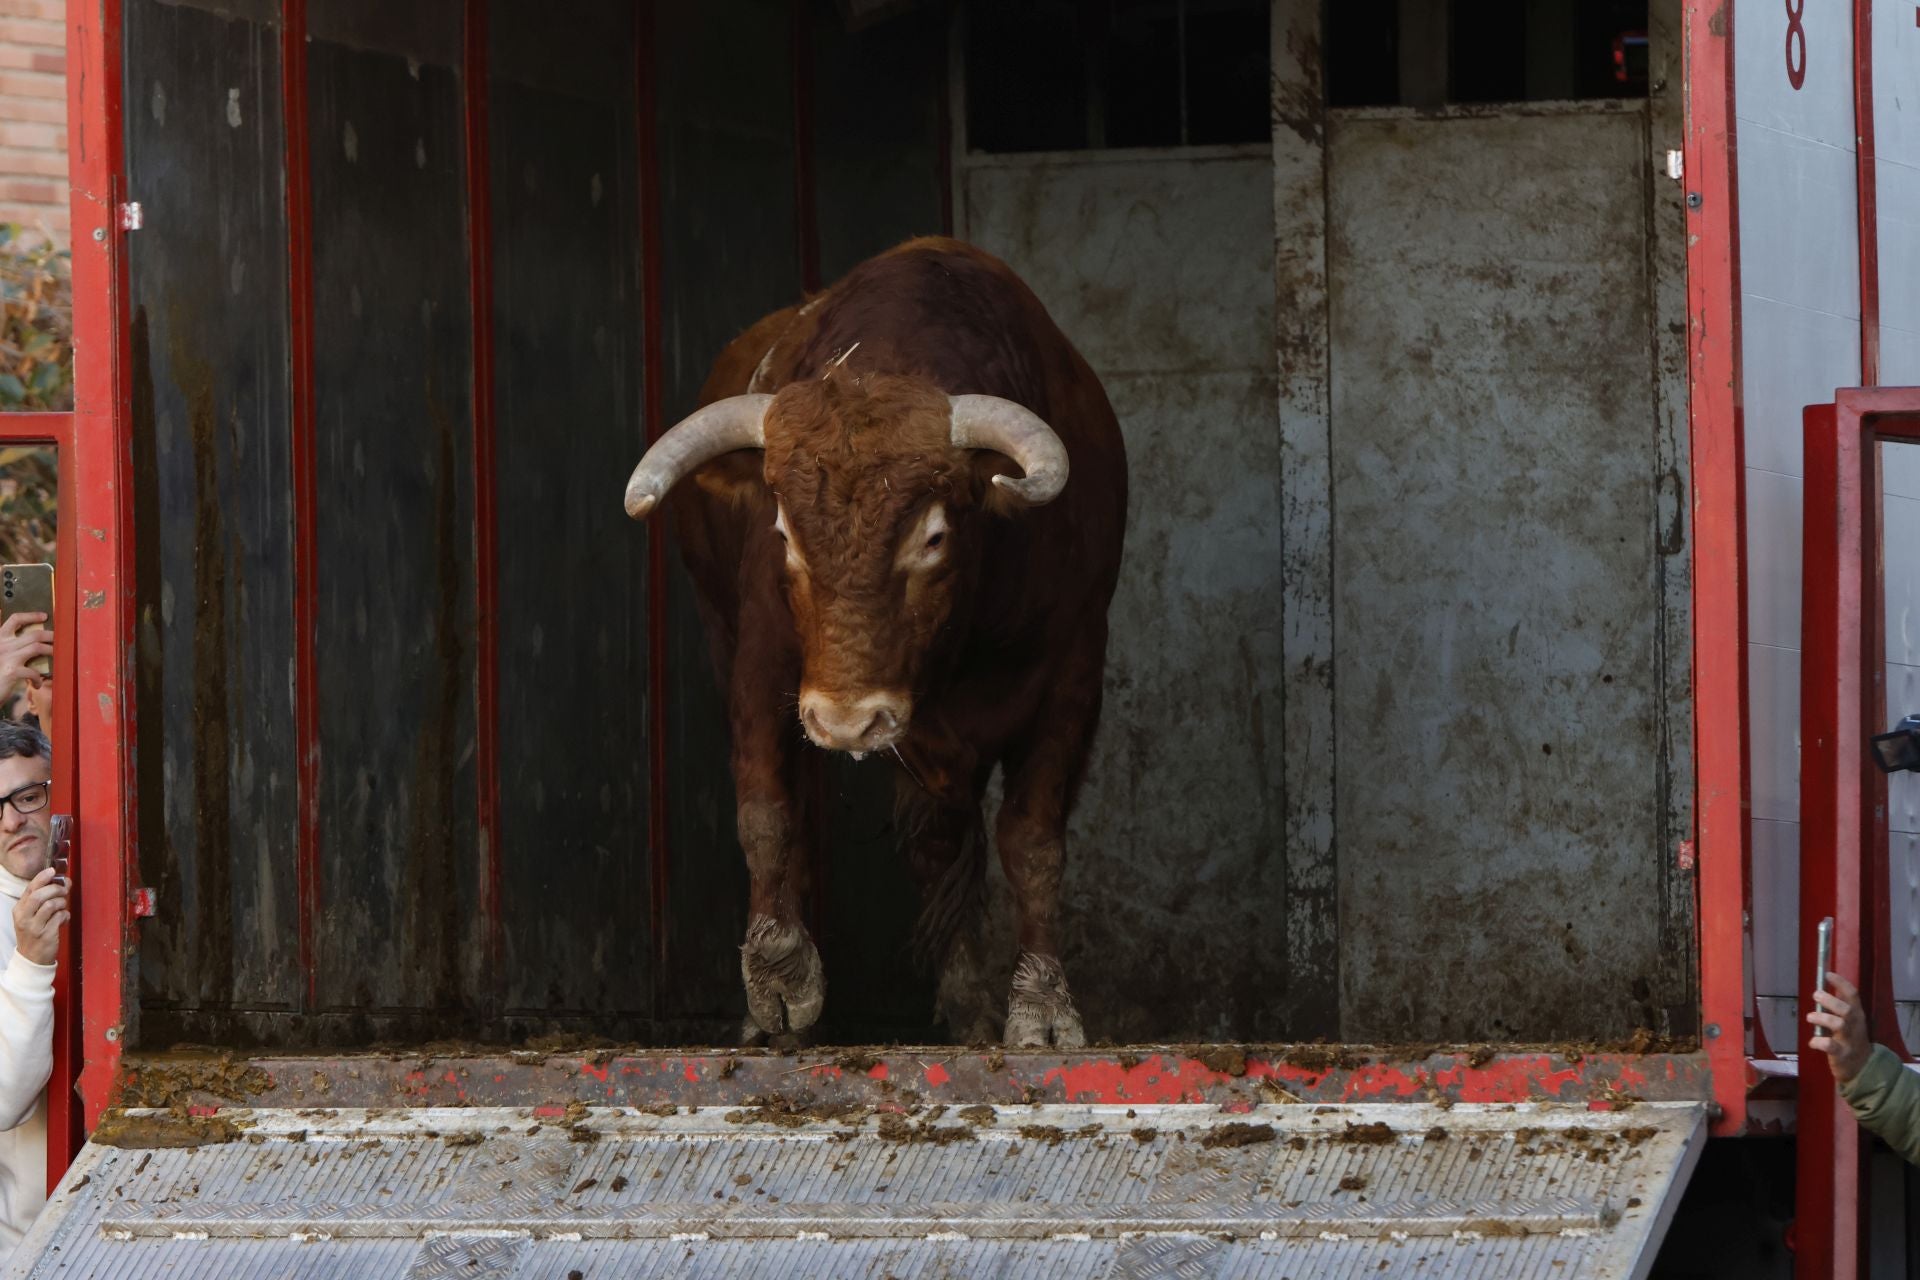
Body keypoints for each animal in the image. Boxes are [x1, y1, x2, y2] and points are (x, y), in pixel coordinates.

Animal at [622, 235, 1121, 1043]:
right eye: (784, 533)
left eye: (935, 537)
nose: (848, 720)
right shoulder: (761, 661)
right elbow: (767, 813)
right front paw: (778, 980)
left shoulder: (1074, 670)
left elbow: (1033, 841)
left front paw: (1042, 1006)